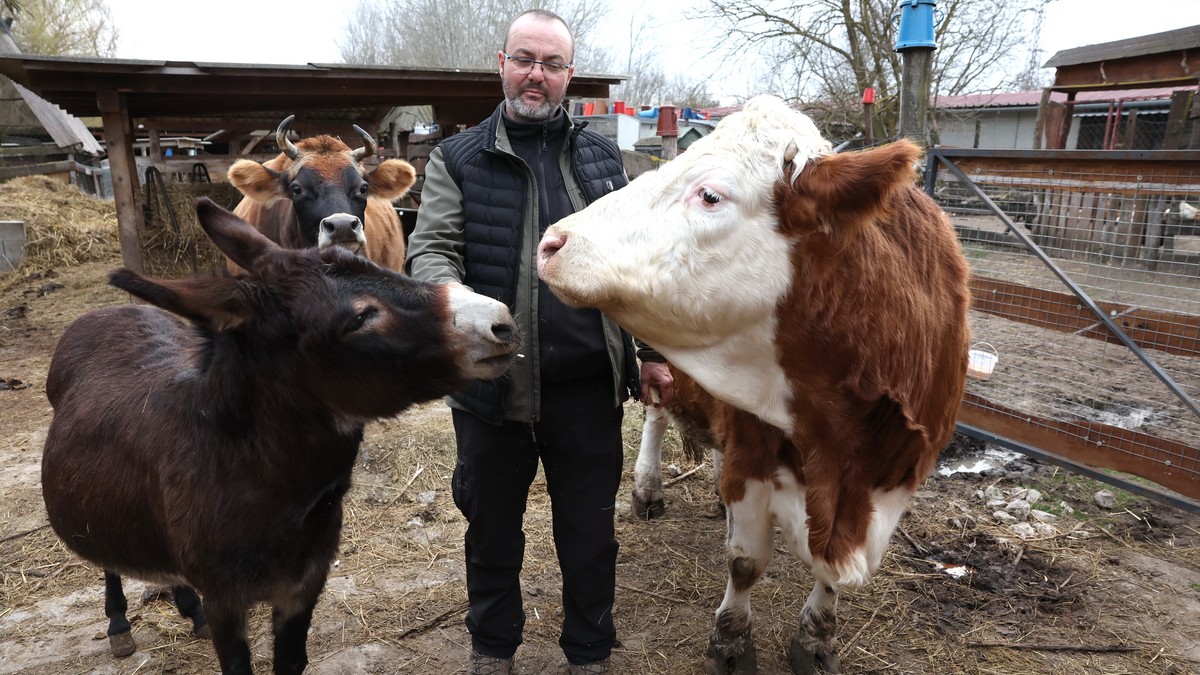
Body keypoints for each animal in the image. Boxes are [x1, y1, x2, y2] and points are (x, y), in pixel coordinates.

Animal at [41, 196, 520, 667]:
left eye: (386, 270)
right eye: (359, 319)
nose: (502, 321)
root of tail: (107, 311)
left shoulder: (302, 588)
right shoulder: (226, 603)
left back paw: (186, 608)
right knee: (108, 561)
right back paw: (118, 623)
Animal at [540, 94, 969, 672]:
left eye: (710, 194)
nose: (553, 241)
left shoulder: (897, 478)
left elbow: (831, 577)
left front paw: (816, 636)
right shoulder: (752, 450)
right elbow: (746, 561)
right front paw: (731, 640)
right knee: (656, 409)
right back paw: (648, 488)